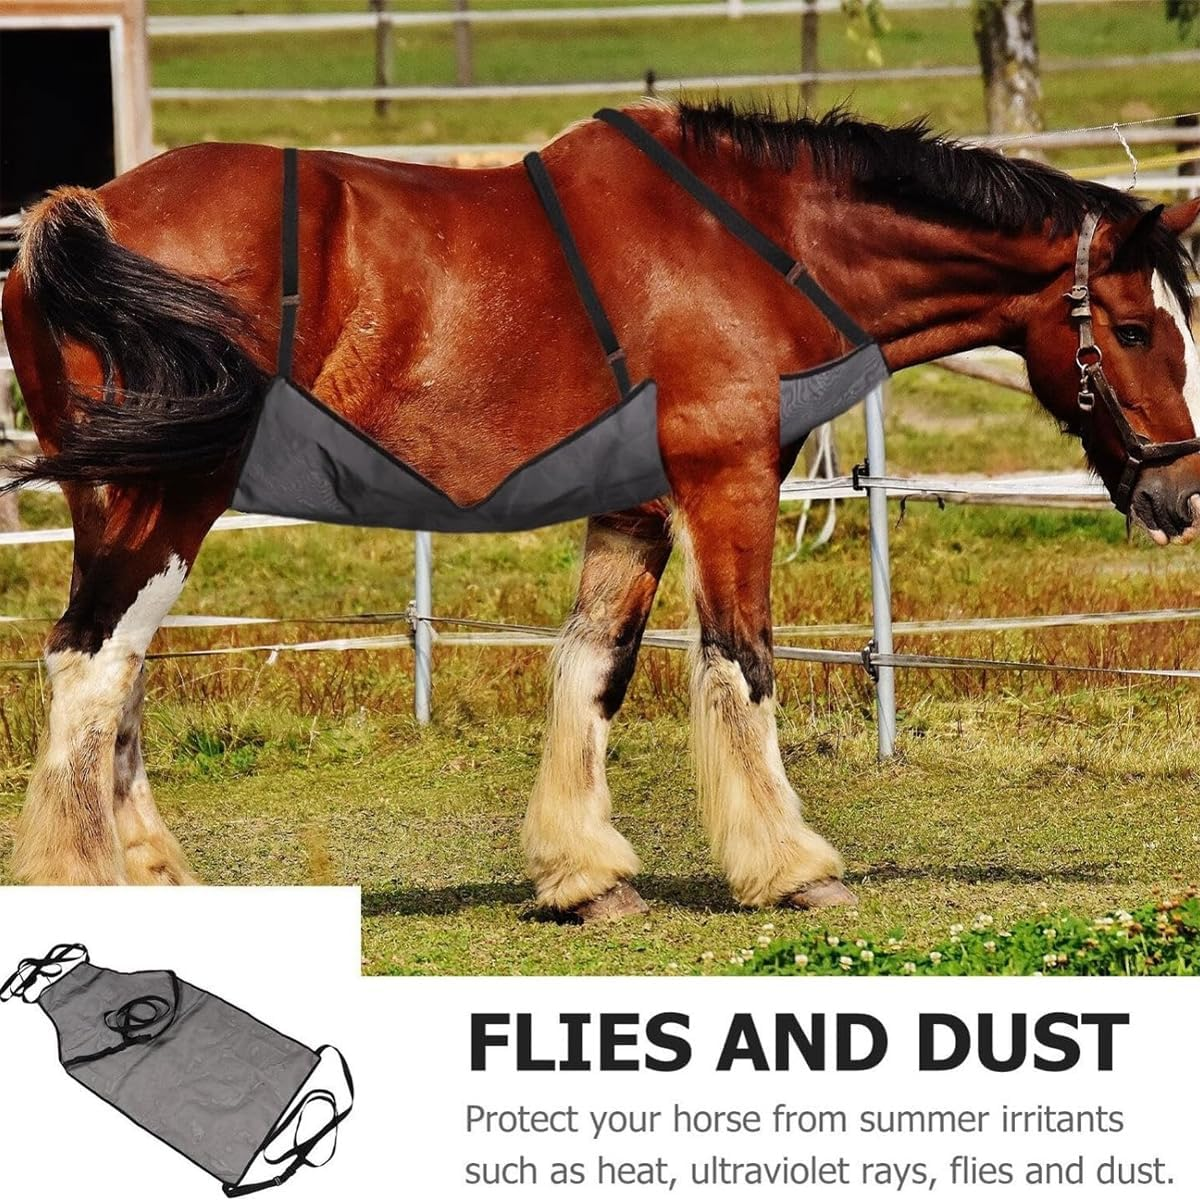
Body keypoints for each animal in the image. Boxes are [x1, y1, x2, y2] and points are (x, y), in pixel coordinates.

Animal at [3, 100, 1199, 919]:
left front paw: (583, 873)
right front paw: (792, 866)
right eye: (1136, 329)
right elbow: (741, 660)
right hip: (171, 499)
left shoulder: (636, 504)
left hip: (114, 503)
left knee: (113, 678)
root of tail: (84, 212)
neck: (750, 244)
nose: (1179, 494)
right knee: (93, 666)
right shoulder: (729, 481)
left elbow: (594, 665)